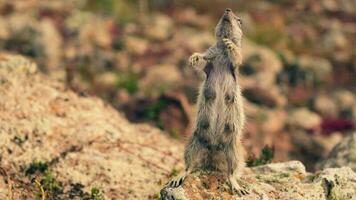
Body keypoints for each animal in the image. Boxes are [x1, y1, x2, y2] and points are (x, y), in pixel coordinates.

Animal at [168, 8, 248, 195]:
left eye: (239, 20)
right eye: (223, 13)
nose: (227, 9)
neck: (221, 49)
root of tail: (214, 150)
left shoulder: (235, 63)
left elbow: (238, 56)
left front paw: (231, 44)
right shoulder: (210, 56)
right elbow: (203, 61)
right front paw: (194, 58)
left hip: (234, 148)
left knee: (231, 171)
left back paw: (236, 185)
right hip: (193, 141)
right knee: (189, 165)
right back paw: (179, 176)